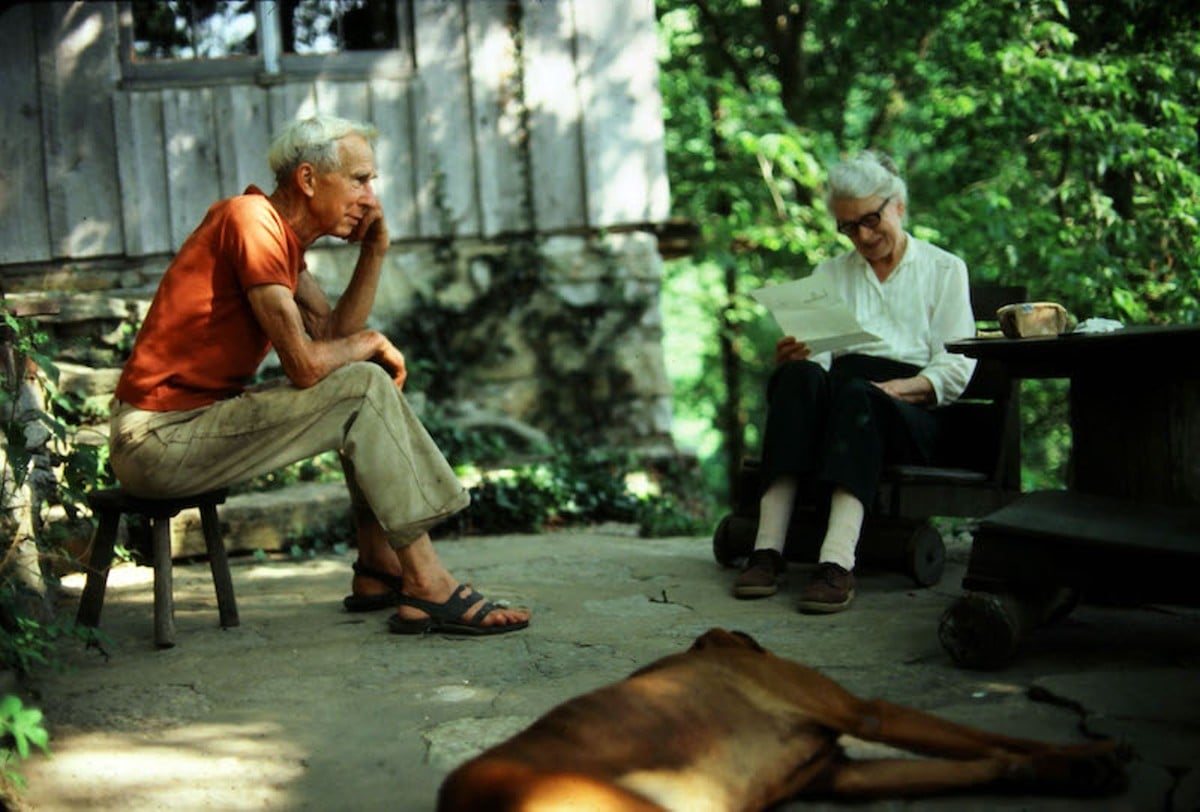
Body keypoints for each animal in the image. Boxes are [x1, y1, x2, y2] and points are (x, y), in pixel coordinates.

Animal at [439, 628, 1123, 810]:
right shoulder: (866, 713)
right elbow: (994, 734)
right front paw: (1087, 753)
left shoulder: (840, 776)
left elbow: (989, 759)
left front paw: (1058, 772)